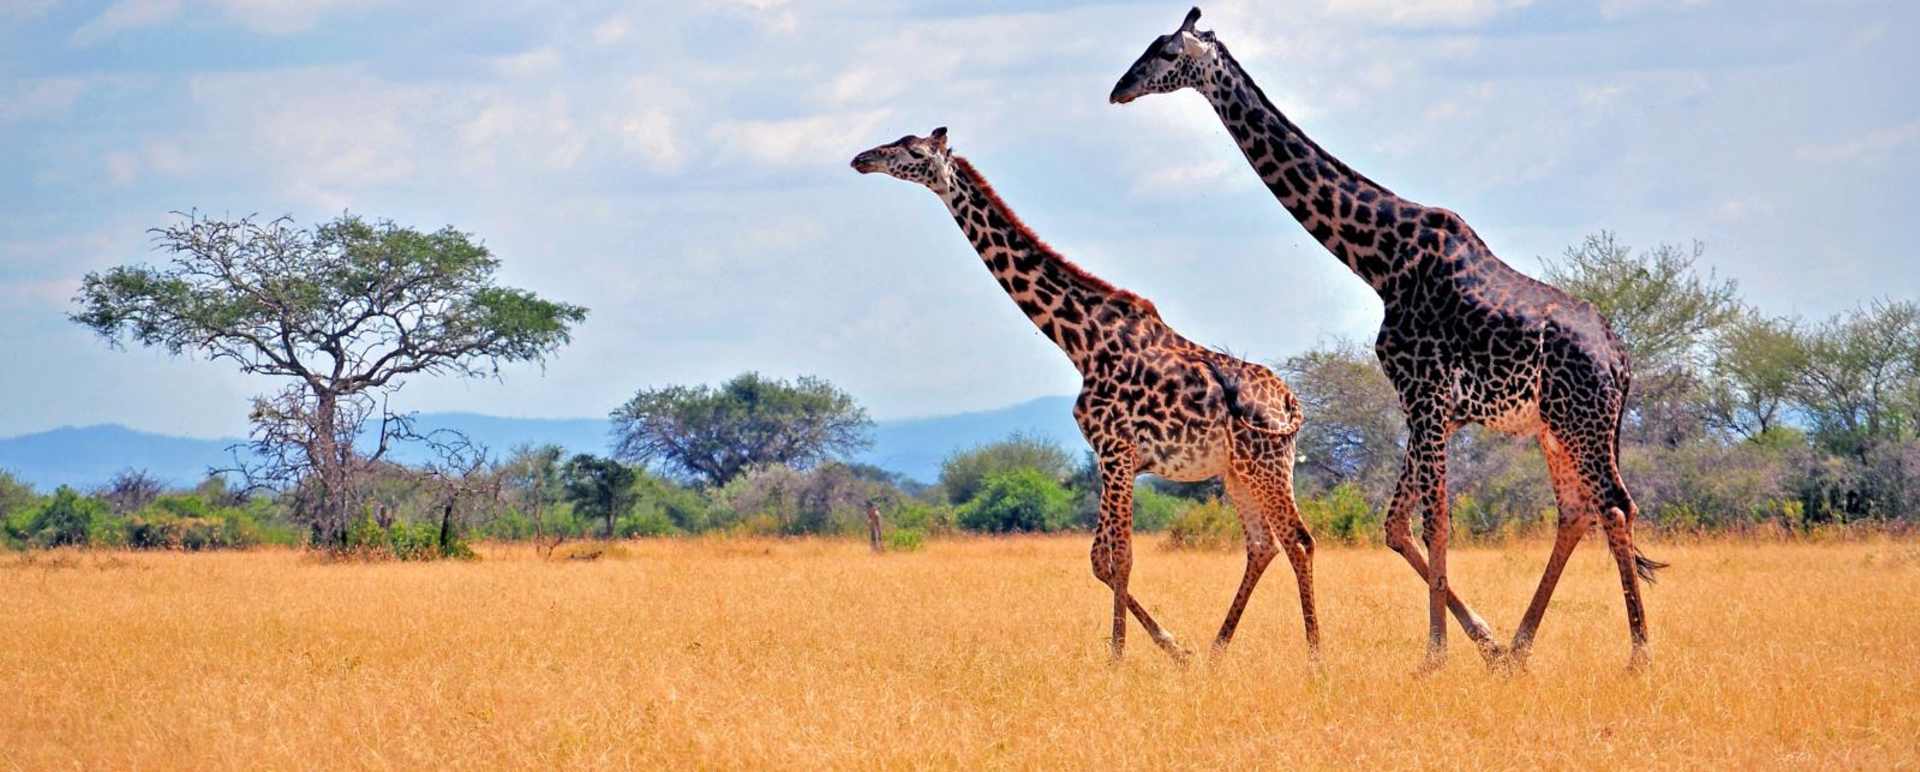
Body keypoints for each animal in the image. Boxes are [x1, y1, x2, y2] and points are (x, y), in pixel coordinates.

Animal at [852, 127, 1317, 661]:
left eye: (912, 150)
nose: (862, 159)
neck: (1080, 341)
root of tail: (1289, 402)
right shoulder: (1108, 456)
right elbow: (1099, 559)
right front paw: (1173, 649)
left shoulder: (1116, 451)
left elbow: (1122, 557)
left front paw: (1119, 657)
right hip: (1238, 471)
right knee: (1262, 545)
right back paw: (1216, 651)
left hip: (1267, 464)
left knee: (1298, 541)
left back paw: (1314, 657)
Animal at [1110, 7, 1666, 671]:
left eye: (1167, 53)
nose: (1120, 90)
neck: (1382, 261)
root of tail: (1621, 360)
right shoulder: (1432, 409)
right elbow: (1397, 525)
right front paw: (1483, 642)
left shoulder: (1423, 396)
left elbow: (1434, 524)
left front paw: (1435, 655)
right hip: (1555, 427)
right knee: (1577, 512)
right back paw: (1520, 648)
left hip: (1580, 420)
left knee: (1614, 505)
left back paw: (1638, 654)